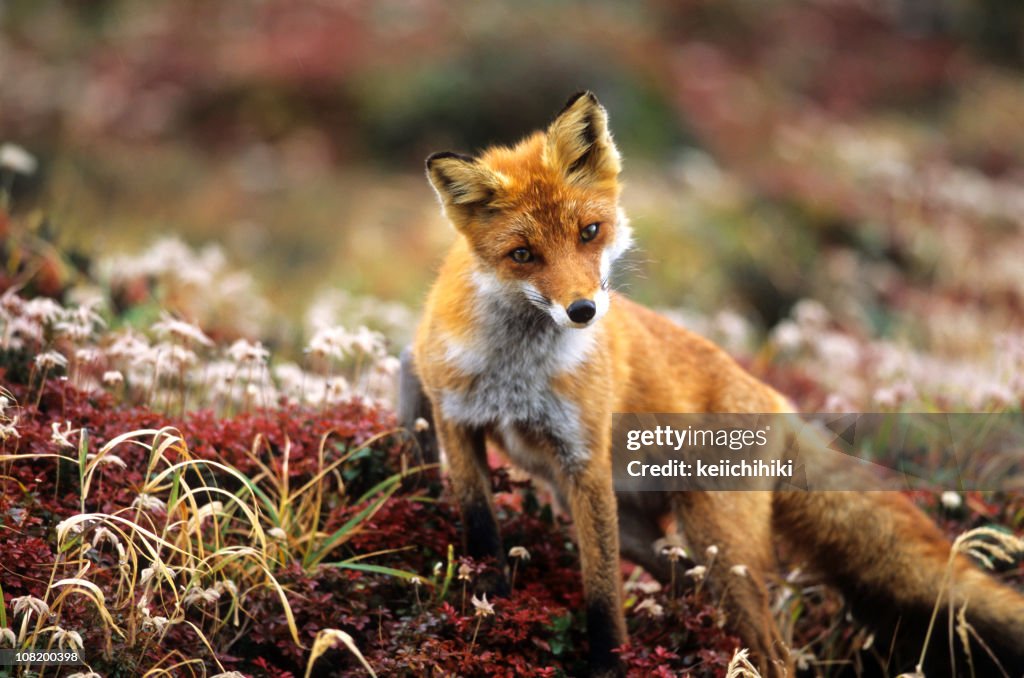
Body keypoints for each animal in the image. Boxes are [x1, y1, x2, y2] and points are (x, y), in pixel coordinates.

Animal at [399, 91, 1024, 678]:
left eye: (589, 232)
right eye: (523, 254)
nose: (582, 311)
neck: (516, 372)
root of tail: (776, 396)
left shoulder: (583, 460)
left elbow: (602, 591)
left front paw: (607, 665)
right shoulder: (456, 419)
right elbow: (482, 529)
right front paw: (490, 605)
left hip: (717, 542)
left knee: (774, 652)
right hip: (653, 535)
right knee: (689, 588)